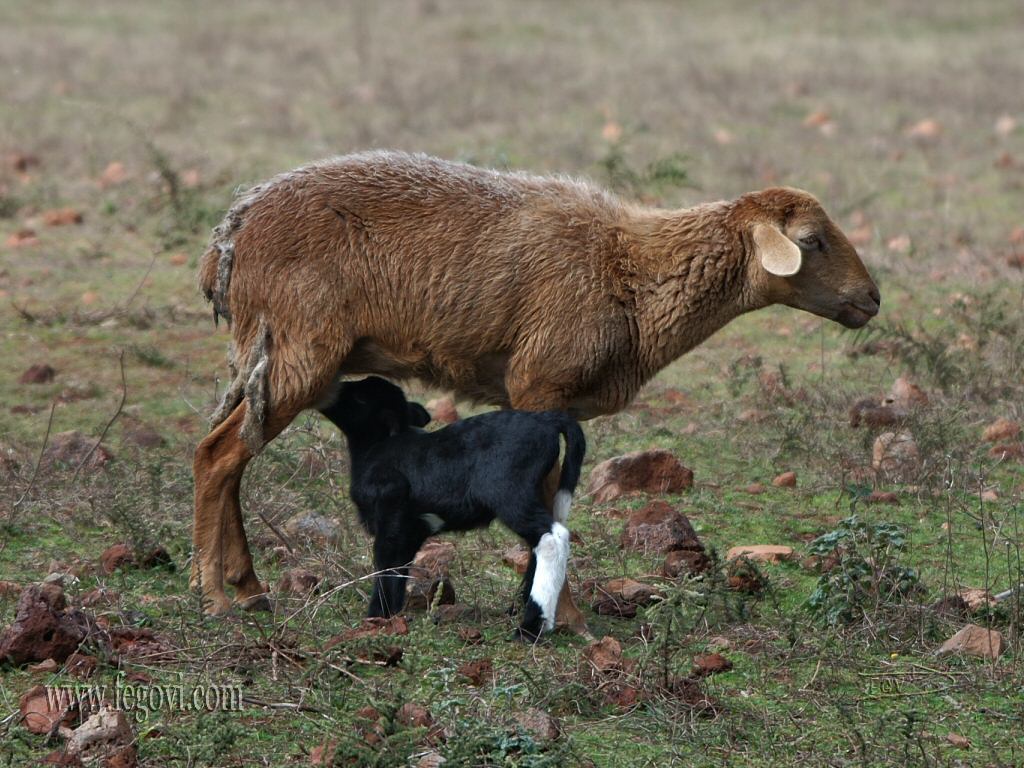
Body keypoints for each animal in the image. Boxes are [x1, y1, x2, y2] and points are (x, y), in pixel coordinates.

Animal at [318, 375, 586, 639]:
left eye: (360, 398)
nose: (329, 391)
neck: (377, 449)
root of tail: (545, 420)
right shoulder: (410, 530)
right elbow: (399, 569)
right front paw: (391, 615)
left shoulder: (390, 514)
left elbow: (385, 566)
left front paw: (375, 617)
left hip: (509, 492)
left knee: (552, 537)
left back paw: (531, 627)